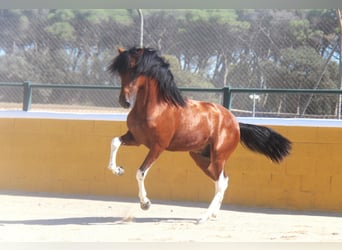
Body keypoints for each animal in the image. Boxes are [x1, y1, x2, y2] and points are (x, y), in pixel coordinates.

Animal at [107, 46, 292, 223]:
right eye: (120, 72)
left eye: (135, 70)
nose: (124, 102)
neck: (155, 108)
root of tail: (236, 123)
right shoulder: (135, 138)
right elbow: (115, 141)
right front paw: (118, 170)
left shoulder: (158, 146)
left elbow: (140, 172)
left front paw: (145, 203)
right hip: (202, 158)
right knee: (223, 181)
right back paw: (213, 214)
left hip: (218, 156)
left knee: (220, 183)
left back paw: (203, 217)